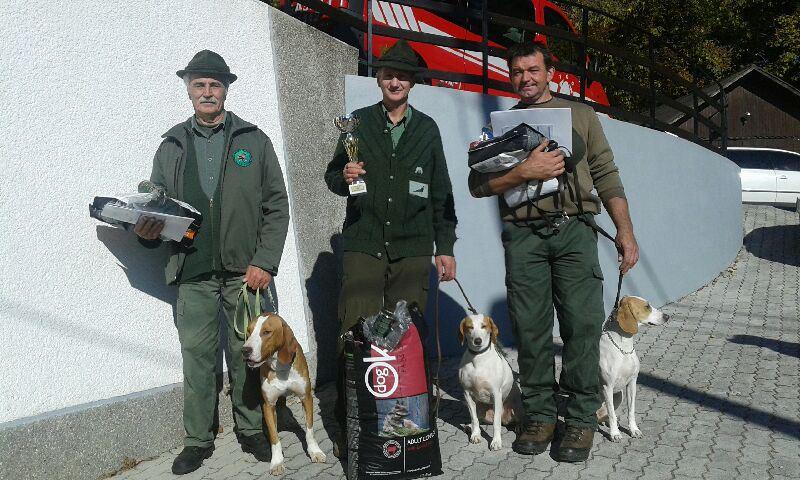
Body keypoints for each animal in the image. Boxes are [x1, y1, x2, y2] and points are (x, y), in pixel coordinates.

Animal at [241, 314, 324, 474]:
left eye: (266, 332)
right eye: (248, 331)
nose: (245, 350)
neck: (280, 367)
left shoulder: (306, 398)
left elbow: (309, 430)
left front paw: (314, 451)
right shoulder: (268, 405)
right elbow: (274, 437)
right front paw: (277, 462)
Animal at [460, 316, 520, 450]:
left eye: (484, 326)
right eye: (470, 327)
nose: (477, 341)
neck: (478, 359)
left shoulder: (496, 395)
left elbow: (496, 423)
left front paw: (496, 441)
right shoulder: (467, 394)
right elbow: (474, 419)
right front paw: (475, 435)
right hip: (480, 407)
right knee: (478, 419)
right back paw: (470, 427)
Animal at [600, 296, 668, 442]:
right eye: (647, 306)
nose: (667, 316)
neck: (623, 348)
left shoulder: (632, 383)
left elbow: (631, 410)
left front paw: (633, 430)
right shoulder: (607, 387)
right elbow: (612, 413)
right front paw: (614, 433)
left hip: (619, 395)